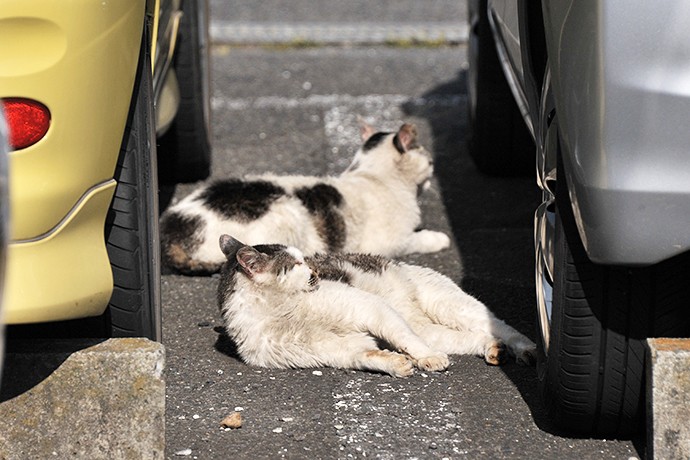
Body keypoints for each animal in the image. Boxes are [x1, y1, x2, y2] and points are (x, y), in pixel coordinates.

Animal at [161, 120, 452, 274]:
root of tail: (171, 229)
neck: (372, 174)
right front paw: (438, 238)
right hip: (286, 216)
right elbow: (416, 239)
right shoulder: (390, 242)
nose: (433, 171)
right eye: (430, 161)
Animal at [218, 234, 536, 378]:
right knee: (469, 337)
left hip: (450, 304)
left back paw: (525, 349)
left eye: (304, 259)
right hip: (433, 330)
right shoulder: (336, 350)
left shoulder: (370, 307)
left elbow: (403, 337)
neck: (282, 310)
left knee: (500, 326)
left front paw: (423, 358)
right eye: (295, 264)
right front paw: (396, 364)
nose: (314, 271)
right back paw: (492, 349)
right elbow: (368, 354)